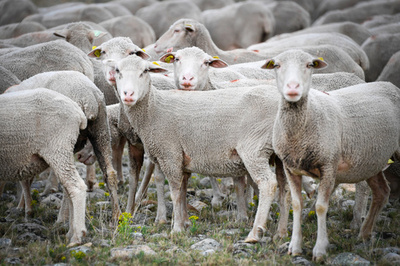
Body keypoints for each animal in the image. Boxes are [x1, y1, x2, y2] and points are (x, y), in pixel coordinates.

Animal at [0, 88, 87, 247]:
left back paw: (77, 237)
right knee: (68, 188)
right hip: (64, 151)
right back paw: (70, 233)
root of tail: (78, 112)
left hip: (58, 147)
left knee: (76, 187)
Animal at [5, 70, 122, 222]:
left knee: (70, 183)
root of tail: (87, 96)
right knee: (109, 173)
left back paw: (62, 219)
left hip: (61, 140)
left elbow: (25, 179)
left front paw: (25, 209)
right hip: (101, 129)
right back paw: (116, 216)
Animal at [106, 55, 288, 242]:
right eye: (118, 70)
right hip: (282, 153)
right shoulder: (181, 158)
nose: (128, 95)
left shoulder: (169, 154)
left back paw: (255, 233)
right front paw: (185, 222)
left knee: (268, 184)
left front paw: (177, 229)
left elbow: (175, 192)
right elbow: (183, 190)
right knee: (285, 190)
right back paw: (281, 232)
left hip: (254, 148)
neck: (152, 108)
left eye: (144, 71)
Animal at [262, 48, 400, 262]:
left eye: (310, 65)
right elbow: (296, 204)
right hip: (371, 160)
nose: (293, 88)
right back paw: (364, 234)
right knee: (381, 192)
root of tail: (389, 84)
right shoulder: (290, 167)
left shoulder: (328, 165)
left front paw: (319, 250)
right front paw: (295, 246)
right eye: (276, 65)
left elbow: (320, 206)